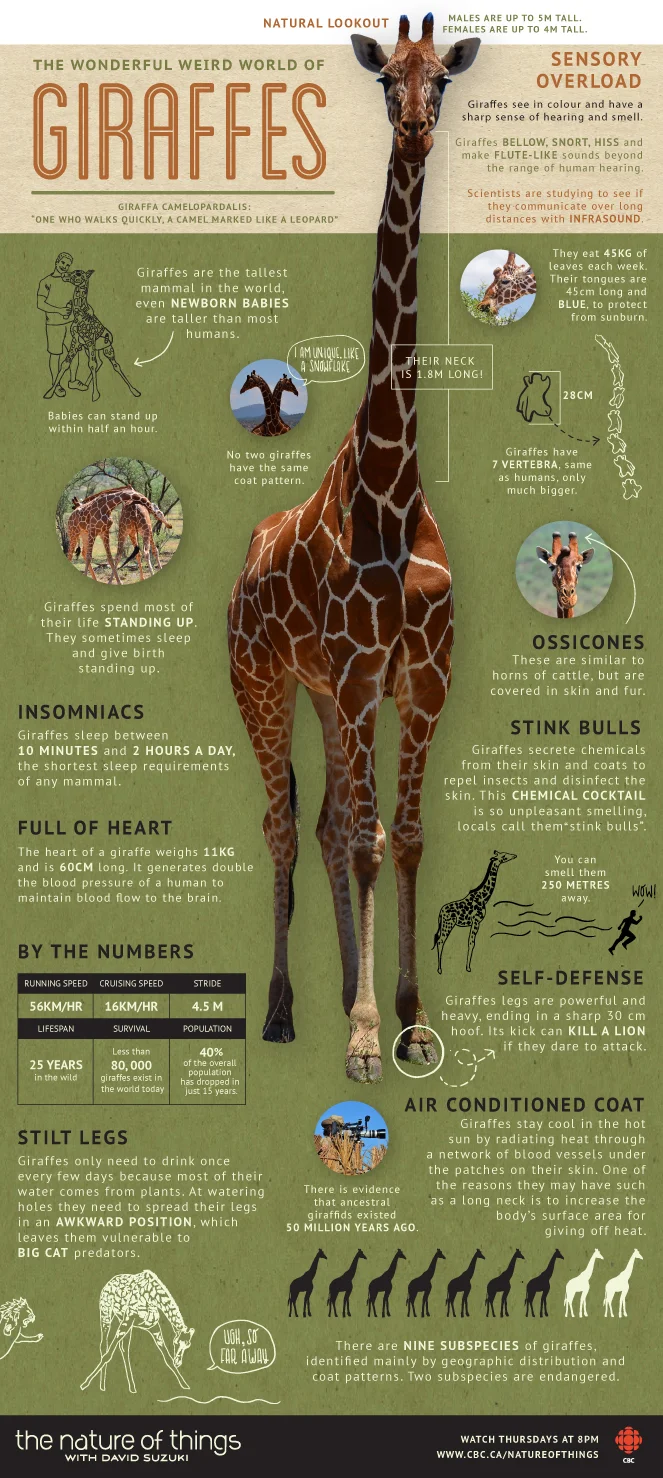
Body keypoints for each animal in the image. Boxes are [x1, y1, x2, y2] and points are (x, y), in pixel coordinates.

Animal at [44, 269, 141, 403]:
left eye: (78, 274)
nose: (64, 275)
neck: (79, 315)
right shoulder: (76, 341)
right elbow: (65, 363)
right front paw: (49, 393)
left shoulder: (89, 341)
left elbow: (92, 365)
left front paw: (95, 395)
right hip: (91, 349)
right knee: (99, 362)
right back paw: (85, 384)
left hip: (106, 349)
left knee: (115, 365)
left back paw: (135, 391)